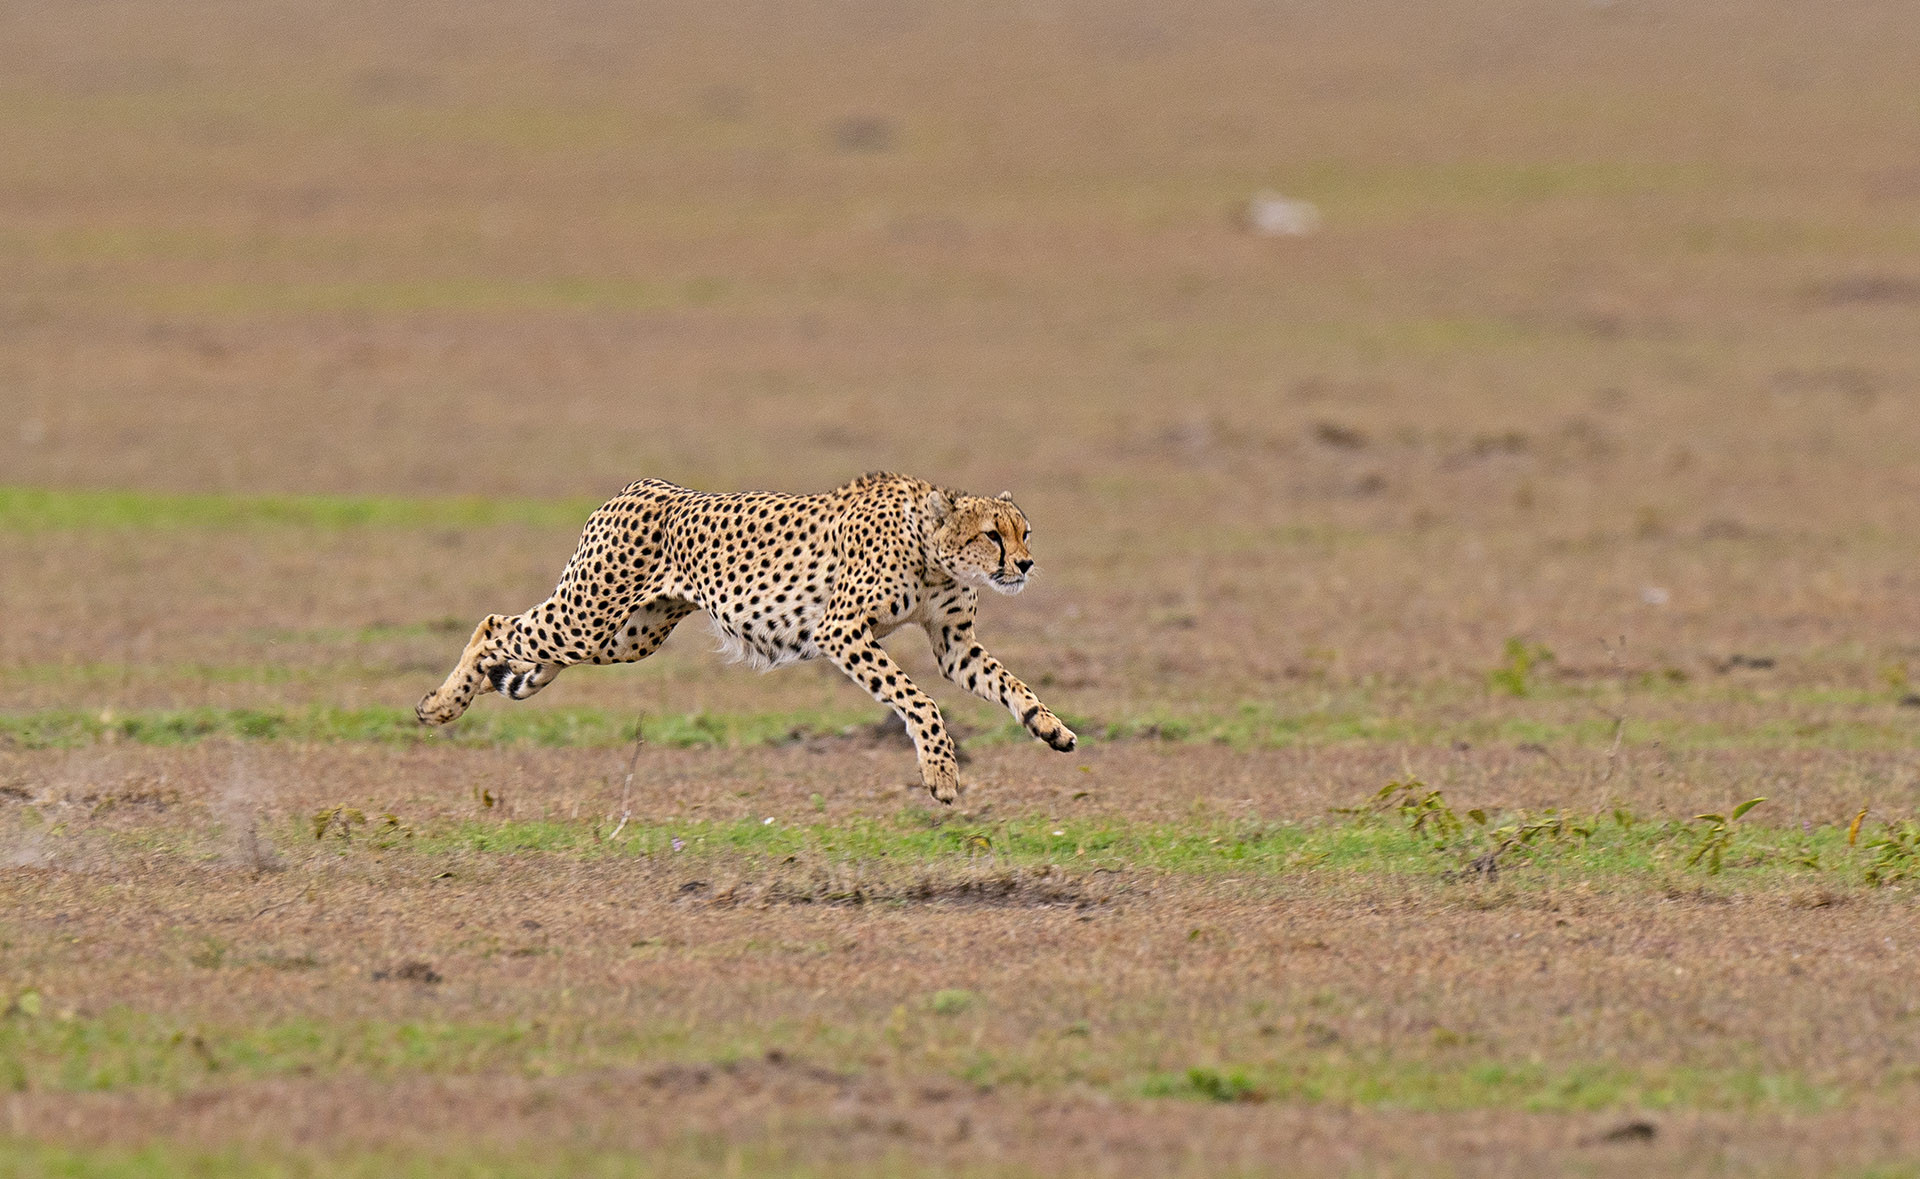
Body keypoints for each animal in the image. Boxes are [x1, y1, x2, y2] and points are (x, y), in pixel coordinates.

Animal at [416, 472, 1078, 803]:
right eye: (992, 534)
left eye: (1024, 531)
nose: (1024, 564)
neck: (934, 553)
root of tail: (640, 485)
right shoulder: (842, 632)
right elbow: (920, 701)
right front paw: (940, 774)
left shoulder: (953, 644)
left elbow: (1011, 684)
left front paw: (1052, 729)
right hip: (590, 617)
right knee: (495, 625)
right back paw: (439, 706)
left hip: (623, 637)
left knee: (527, 653)